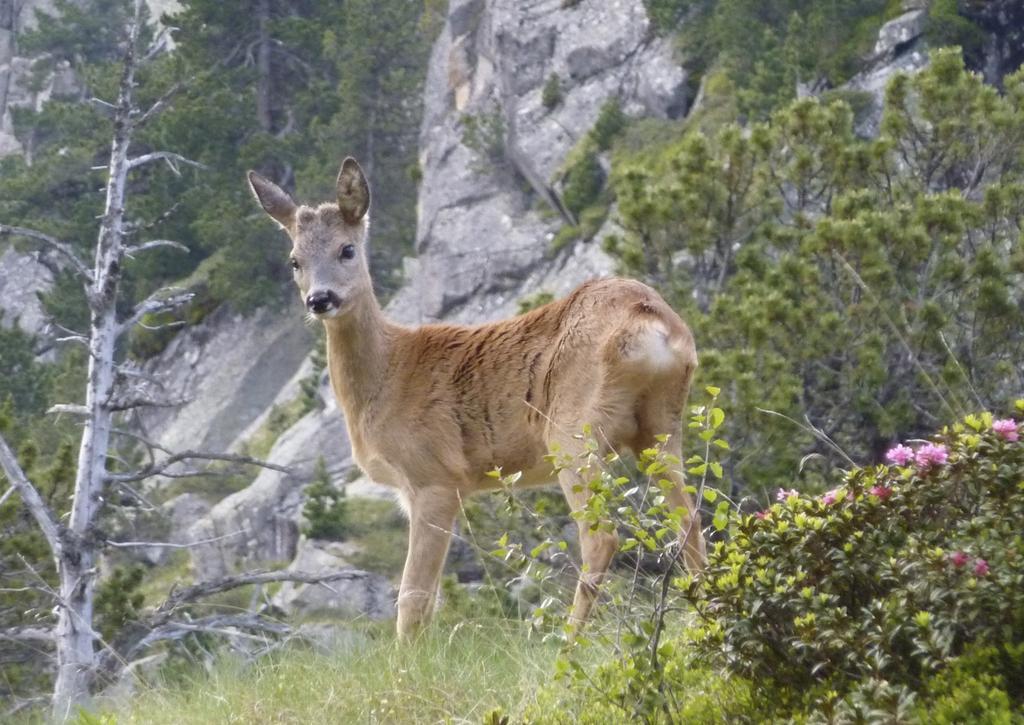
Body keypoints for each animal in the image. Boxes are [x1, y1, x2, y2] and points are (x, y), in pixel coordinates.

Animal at [247, 156, 704, 634]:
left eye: (347, 249)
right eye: (295, 261)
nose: (320, 298)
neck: (388, 374)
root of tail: (650, 318)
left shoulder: (434, 475)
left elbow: (413, 598)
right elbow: (429, 600)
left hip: (570, 427)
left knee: (601, 536)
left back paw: (567, 638)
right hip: (660, 424)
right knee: (689, 519)